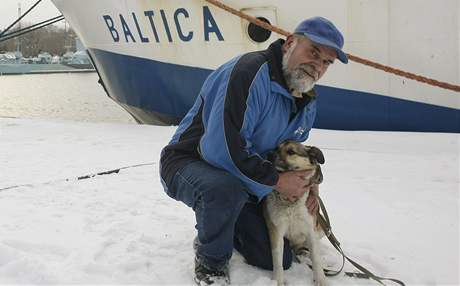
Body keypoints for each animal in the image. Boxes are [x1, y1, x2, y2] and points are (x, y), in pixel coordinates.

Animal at [262, 141, 328, 286]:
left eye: (291, 151)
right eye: (277, 148)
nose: (269, 154)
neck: (290, 203)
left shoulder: (310, 230)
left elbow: (316, 259)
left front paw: (320, 280)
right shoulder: (276, 230)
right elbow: (277, 259)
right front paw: (277, 280)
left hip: (321, 228)